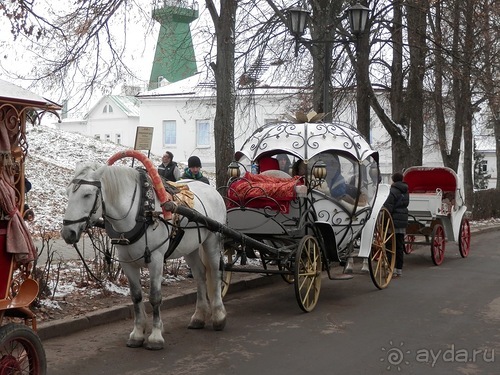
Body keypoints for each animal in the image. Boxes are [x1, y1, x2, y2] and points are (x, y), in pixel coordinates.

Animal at [59, 163, 228, 352]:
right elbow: (136, 296)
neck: (140, 212)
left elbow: (154, 297)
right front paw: (138, 333)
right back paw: (199, 316)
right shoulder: (127, 263)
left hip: (212, 240)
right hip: (190, 248)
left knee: (215, 273)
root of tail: (212, 190)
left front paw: (155, 336)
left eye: (87, 194)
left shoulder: (156, 260)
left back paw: (218, 316)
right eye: (68, 193)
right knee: (200, 276)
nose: (68, 233)